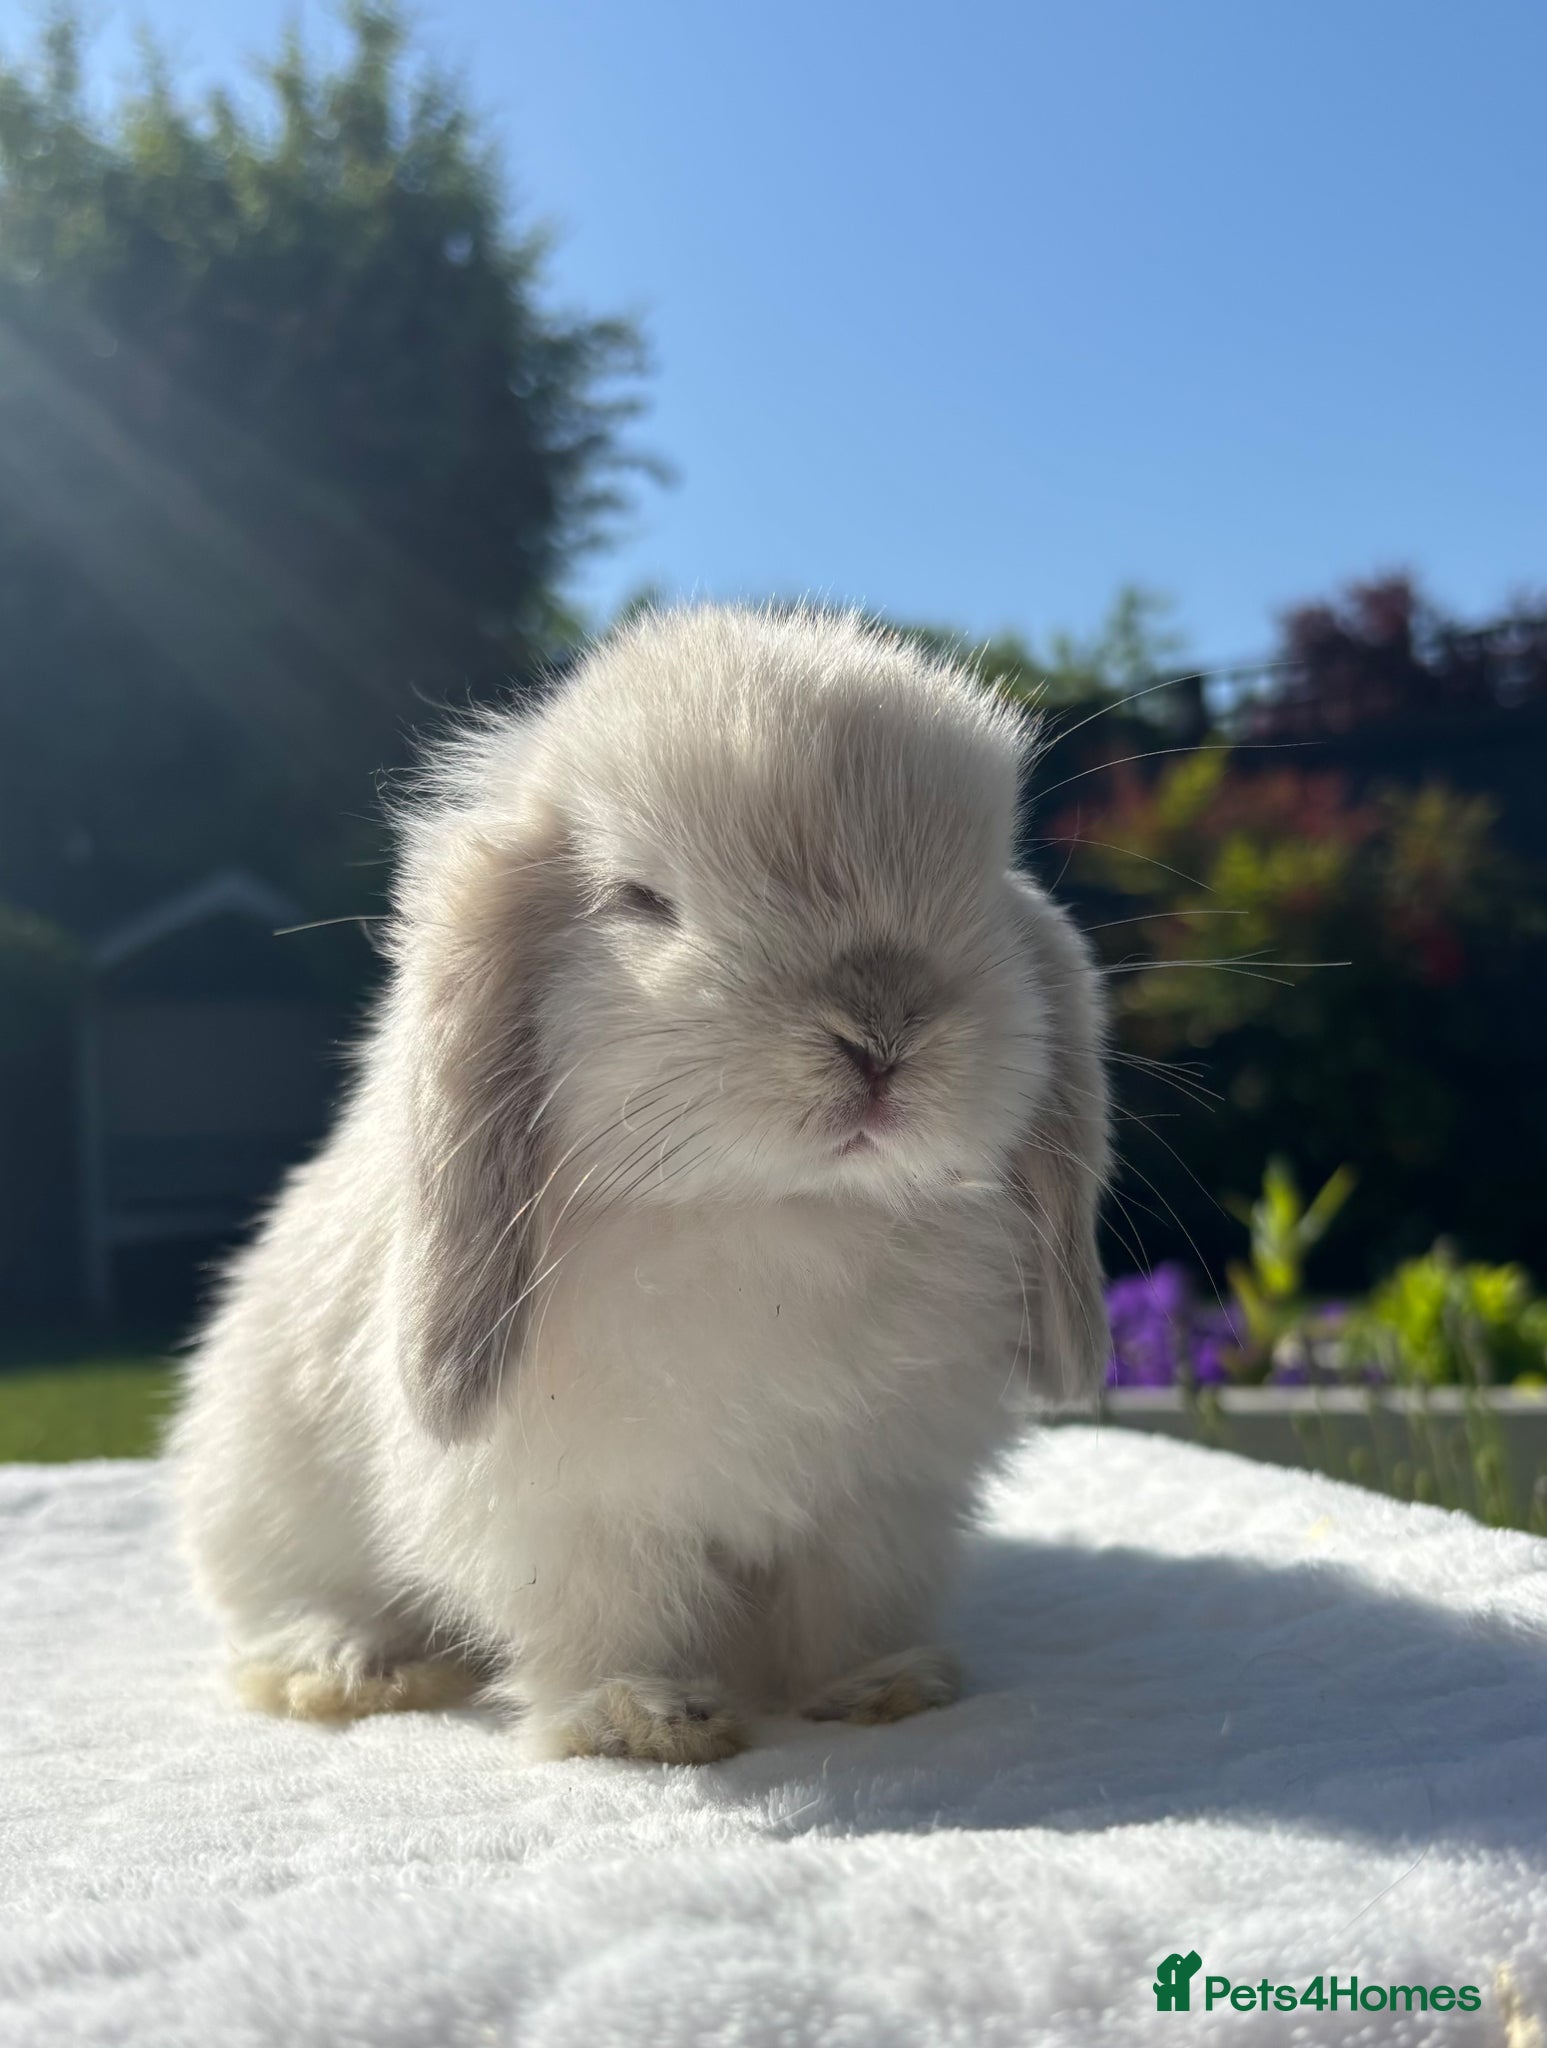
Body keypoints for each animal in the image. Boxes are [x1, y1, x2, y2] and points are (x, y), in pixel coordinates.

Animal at [169, 603, 1111, 1764]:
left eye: (981, 881)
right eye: (641, 901)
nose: (883, 1030)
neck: (777, 1210)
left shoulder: (878, 1501)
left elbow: (846, 1606)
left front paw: (882, 1689)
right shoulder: (571, 1513)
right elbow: (612, 1612)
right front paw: (643, 1720)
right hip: (257, 1501)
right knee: (280, 1610)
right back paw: (351, 1668)